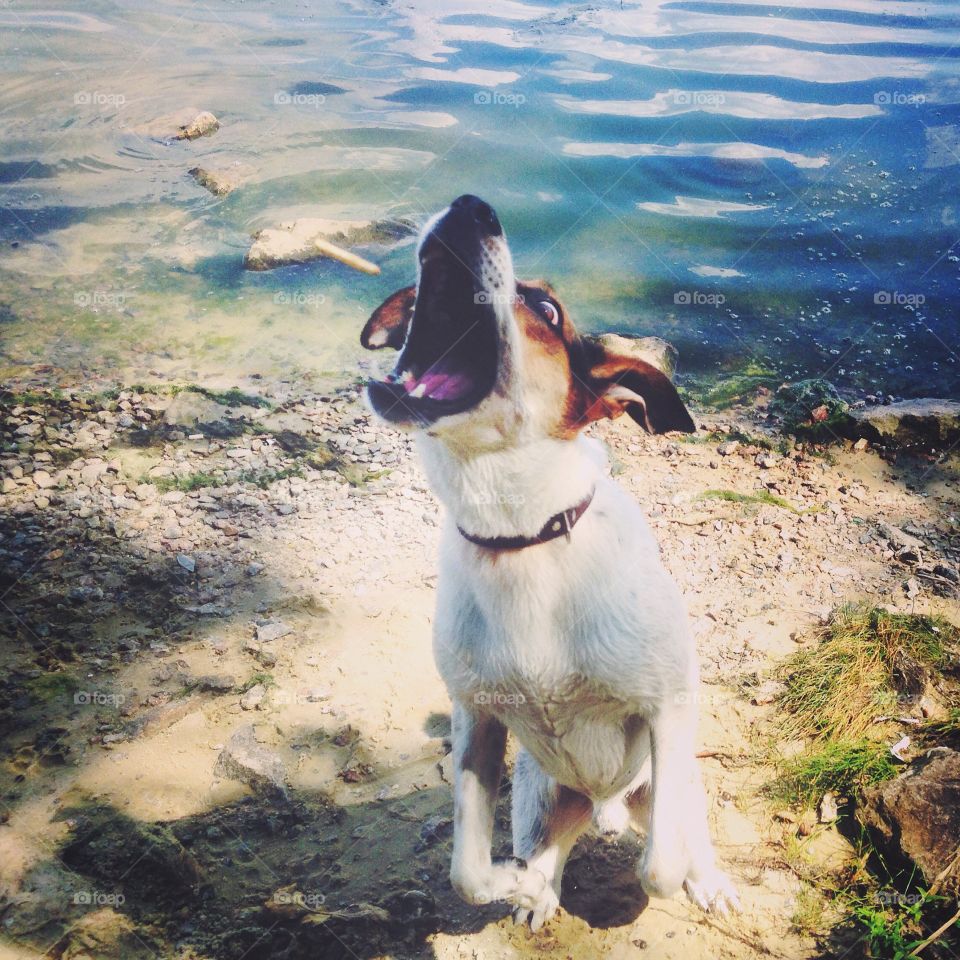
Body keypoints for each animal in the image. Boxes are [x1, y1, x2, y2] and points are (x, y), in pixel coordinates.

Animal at [360, 195, 744, 928]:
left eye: (547, 309)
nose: (469, 206)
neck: (524, 540)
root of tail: (603, 802)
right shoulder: (477, 722)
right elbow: (468, 873)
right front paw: (521, 885)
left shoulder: (669, 707)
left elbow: (660, 867)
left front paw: (682, 879)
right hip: (540, 791)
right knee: (549, 842)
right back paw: (539, 884)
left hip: (669, 783)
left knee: (684, 837)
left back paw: (707, 880)